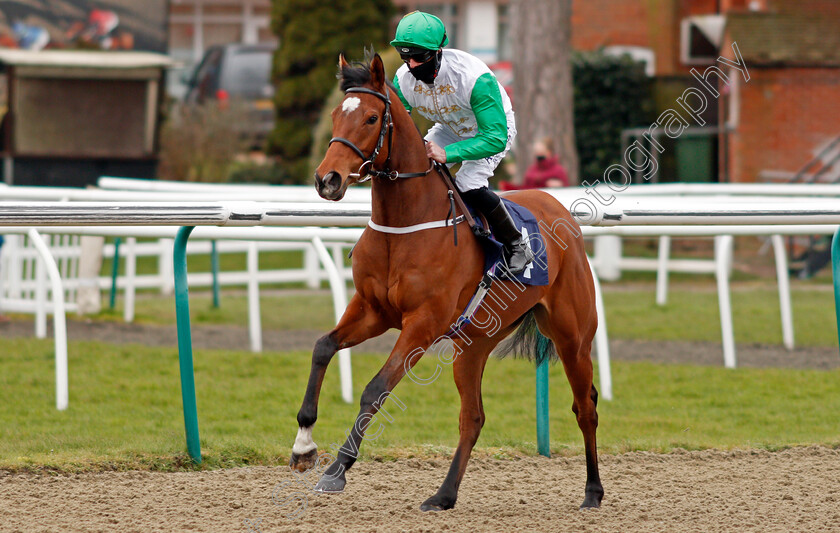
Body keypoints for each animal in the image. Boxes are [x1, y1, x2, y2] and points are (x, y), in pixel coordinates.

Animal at [290, 51, 604, 512]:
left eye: (370, 118)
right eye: (335, 115)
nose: (326, 179)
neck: (405, 224)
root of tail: (558, 208)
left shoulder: (423, 323)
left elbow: (375, 388)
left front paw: (337, 469)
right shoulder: (372, 310)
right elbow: (321, 348)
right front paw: (303, 446)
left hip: (572, 337)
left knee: (586, 407)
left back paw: (593, 491)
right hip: (473, 344)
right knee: (472, 417)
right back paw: (443, 494)